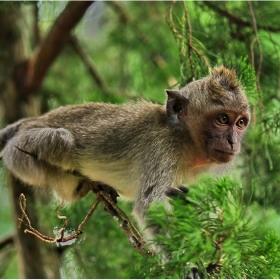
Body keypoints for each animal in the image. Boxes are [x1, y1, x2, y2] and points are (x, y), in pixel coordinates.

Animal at [0, 65, 249, 241]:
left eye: (240, 123)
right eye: (222, 119)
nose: (233, 141)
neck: (183, 137)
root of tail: (30, 121)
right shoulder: (161, 148)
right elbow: (150, 206)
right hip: (20, 150)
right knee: (61, 140)